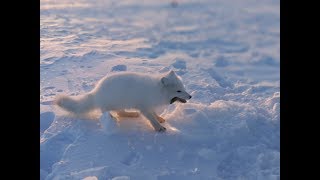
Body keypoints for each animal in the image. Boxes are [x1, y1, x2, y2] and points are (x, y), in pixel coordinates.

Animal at [55, 70, 191, 132]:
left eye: (183, 88)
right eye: (178, 91)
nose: (190, 97)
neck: (156, 90)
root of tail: (96, 92)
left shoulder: (149, 105)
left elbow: (154, 114)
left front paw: (160, 119)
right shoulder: (144, 107)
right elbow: (151, 118)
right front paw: (159, 128)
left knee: (121, 112)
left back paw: (132, 114)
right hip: (112, 104)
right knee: (113, 113)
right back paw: (114, 119)